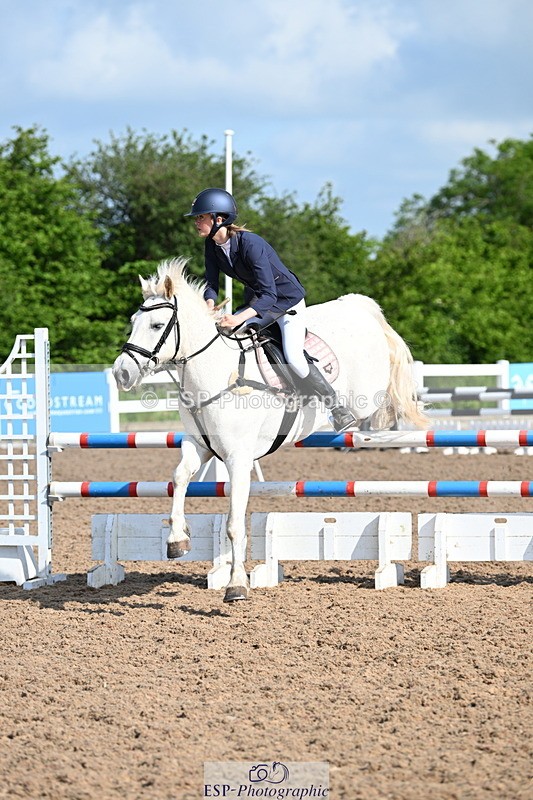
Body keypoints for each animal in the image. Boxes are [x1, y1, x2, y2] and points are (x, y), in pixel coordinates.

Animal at [113, 258, 427, 602]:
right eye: (132, 322)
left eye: (157, 326)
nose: (121, 373)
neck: (215, 372)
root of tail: (355, 305)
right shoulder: (200, 444)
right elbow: (180, 478)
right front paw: (177, 540)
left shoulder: (238, 458)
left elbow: (235, 525)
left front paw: (236, 585)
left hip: (367, 390)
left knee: (383, 395)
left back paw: (376, 419)